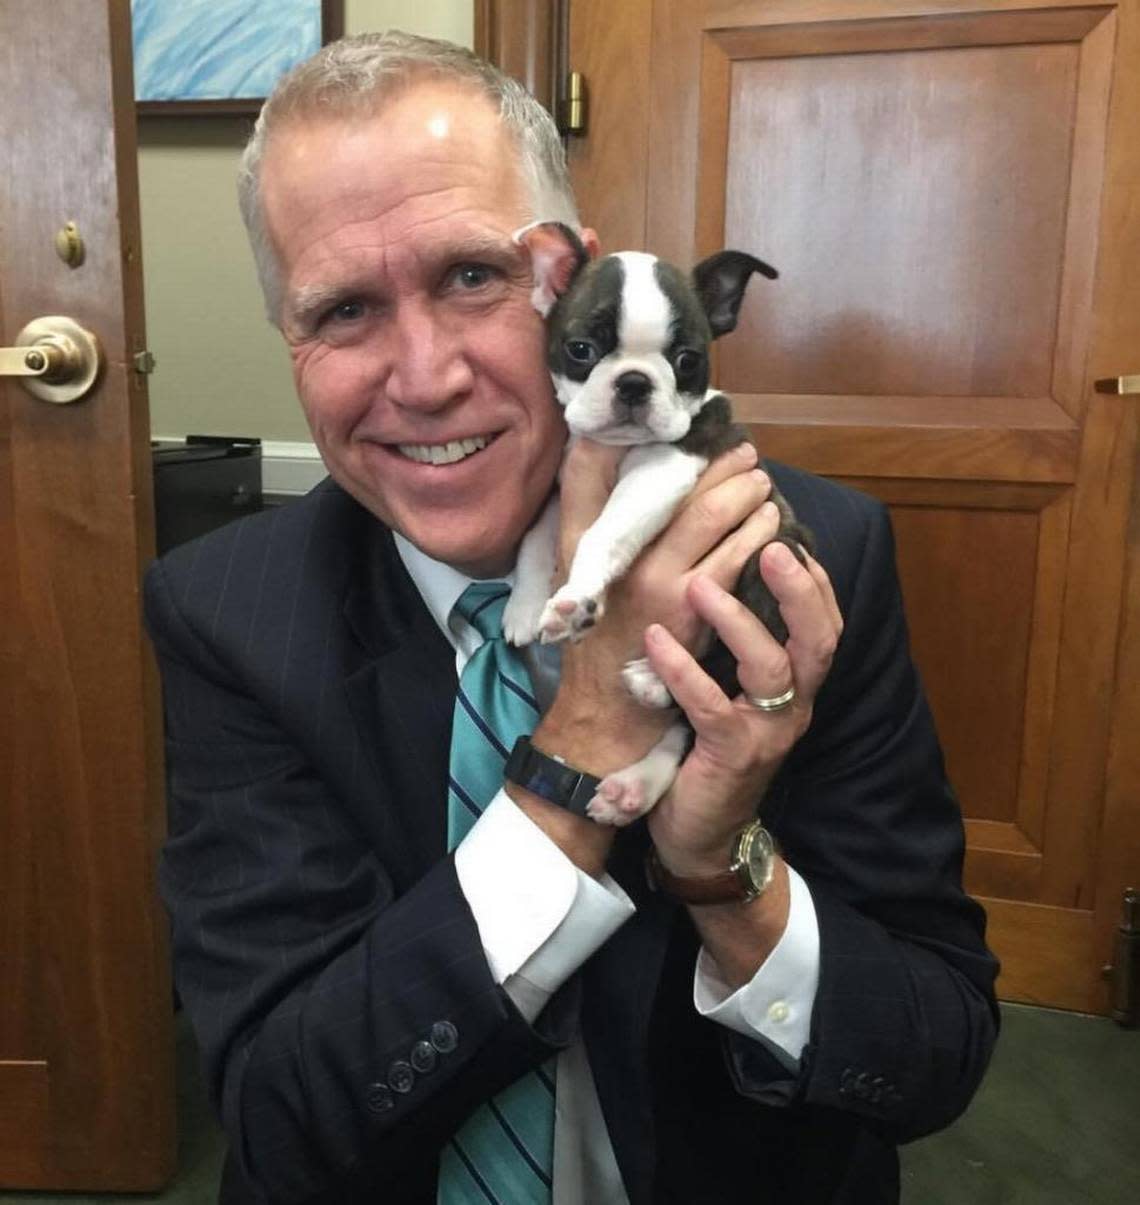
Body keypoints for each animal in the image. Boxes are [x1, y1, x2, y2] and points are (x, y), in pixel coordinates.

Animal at [503, 224, 809, 829]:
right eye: (581, 349)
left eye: (687, 359)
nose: (634, 382)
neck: (617, 449)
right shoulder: (561, 481)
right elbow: (533, 539)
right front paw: (525, 605)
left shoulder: (667, 466)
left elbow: (602, 531)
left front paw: (577, 599)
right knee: (683, 734)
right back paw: (634, 786)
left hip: (772, 565)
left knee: (730, 671)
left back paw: (656, 680)